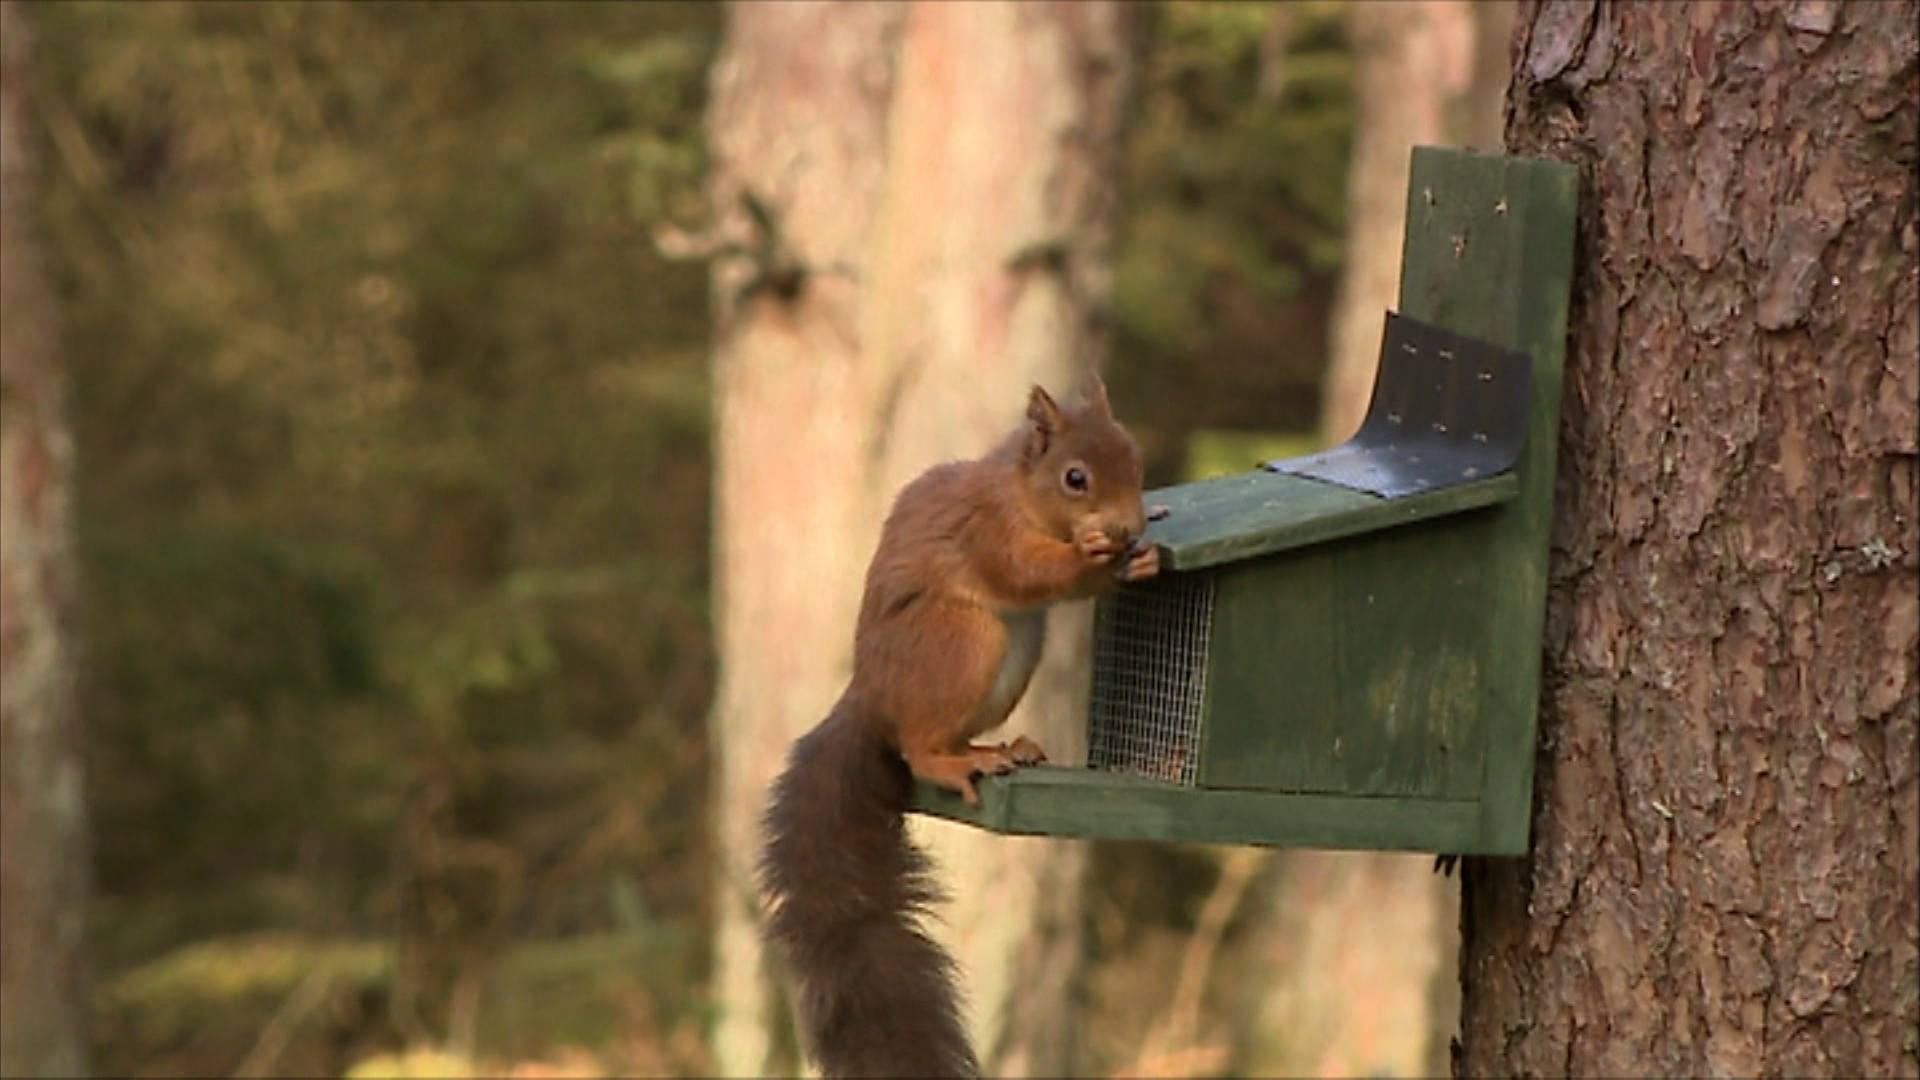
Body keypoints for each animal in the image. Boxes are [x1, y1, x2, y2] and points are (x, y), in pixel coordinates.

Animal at [760, 378, 1152, 1076]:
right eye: (1075, 478)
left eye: (1136, 460)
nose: (1129, 527)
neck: (1021, 497)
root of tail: (869, 697)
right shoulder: (986, 532)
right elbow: (1029, 572)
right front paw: (1095, 559)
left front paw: (1147, 555)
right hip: (961, 641)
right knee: (918, 750)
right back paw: (953, 761)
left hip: (1015, 655)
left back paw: (999, 747)